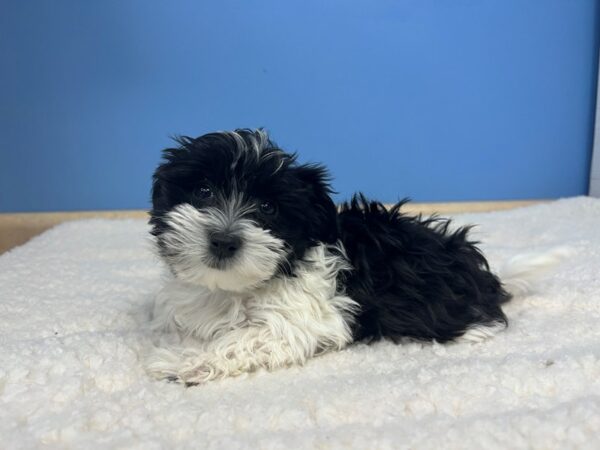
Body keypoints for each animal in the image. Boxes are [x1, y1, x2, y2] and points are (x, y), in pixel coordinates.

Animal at [145, 127, 564, 384]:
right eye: (203, 191)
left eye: (268, 208)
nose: (223, 240)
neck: (234, 289)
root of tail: (488, 280)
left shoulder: (301, 320)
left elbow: (242, 339)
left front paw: (185, 362)